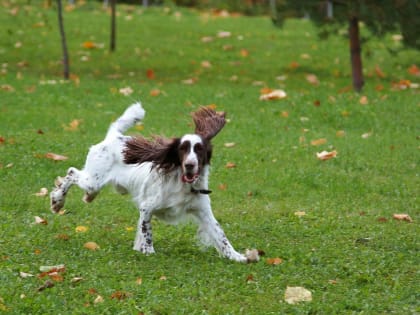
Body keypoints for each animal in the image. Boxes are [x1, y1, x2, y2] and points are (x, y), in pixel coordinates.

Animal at [50, 103, 258, 264]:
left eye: (199, 149)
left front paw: (238, 256)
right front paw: (148, 251)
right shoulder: (147, 207)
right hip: (94, 180)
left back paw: (86, 198)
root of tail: (114, 137)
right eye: (182, 149)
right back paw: (57, 201)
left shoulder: (203, 210)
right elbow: (146, 231)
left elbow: (220, 235)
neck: (181, 184)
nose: (190, 165)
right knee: (71, 173)